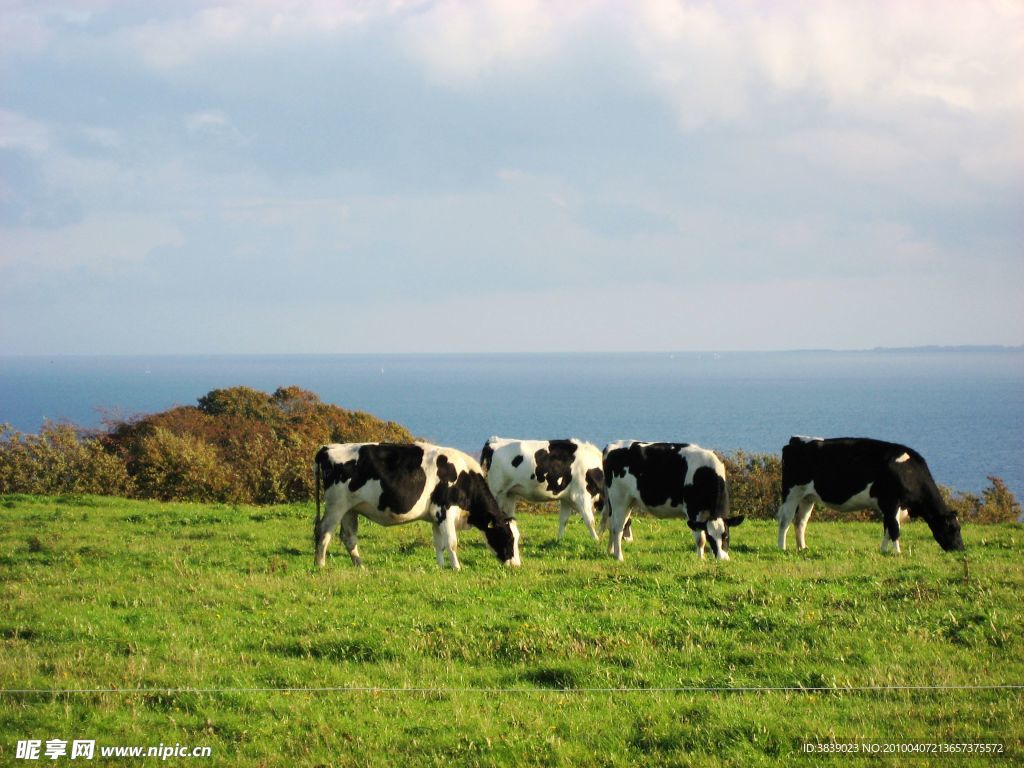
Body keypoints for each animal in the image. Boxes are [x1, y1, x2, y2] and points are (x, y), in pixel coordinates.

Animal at [311, 438, 520, 573]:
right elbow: (451, 542)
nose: (516, 565)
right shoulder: (445, 510)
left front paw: (441, 566)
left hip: (350, 508)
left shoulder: (436, 517)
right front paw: (457, 568)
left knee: (348, 537)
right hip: (336, 506)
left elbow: (439, 544)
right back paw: (320, 565)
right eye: (508, 538)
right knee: (323, 532)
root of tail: (327, 448)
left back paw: (360, 566)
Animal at [479, 436, 614, 544]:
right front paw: (596, 540)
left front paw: (559, 540)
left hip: (510, 494)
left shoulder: (566, 498)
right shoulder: (581, 495)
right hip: (497, 491)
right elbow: (590, 521)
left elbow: (563, 520)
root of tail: (494, 440)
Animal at [598, 442, 745, 561]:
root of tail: (611, 445)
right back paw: (619, 557)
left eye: (726, 536)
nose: (722, 559)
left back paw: (610, 551)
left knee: (612, 524)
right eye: (711, 537)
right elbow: (700, 539)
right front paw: (700, 559)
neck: (705, 474)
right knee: (617, 528)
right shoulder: (693, 510)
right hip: (619, 500)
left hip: (625, 502)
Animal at [778, 438, 962, 552]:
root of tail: (794, 441)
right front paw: (898, 552)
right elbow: (894, 529)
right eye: (952, 528)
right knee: (785, 521)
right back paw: (782, 548)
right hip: (791, 494)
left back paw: (802, 548)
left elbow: (888, 528)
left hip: (807, 498)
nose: (960, 549)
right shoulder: (891, 502)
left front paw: (884, 550)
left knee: (800, 522)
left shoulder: (891, 507)